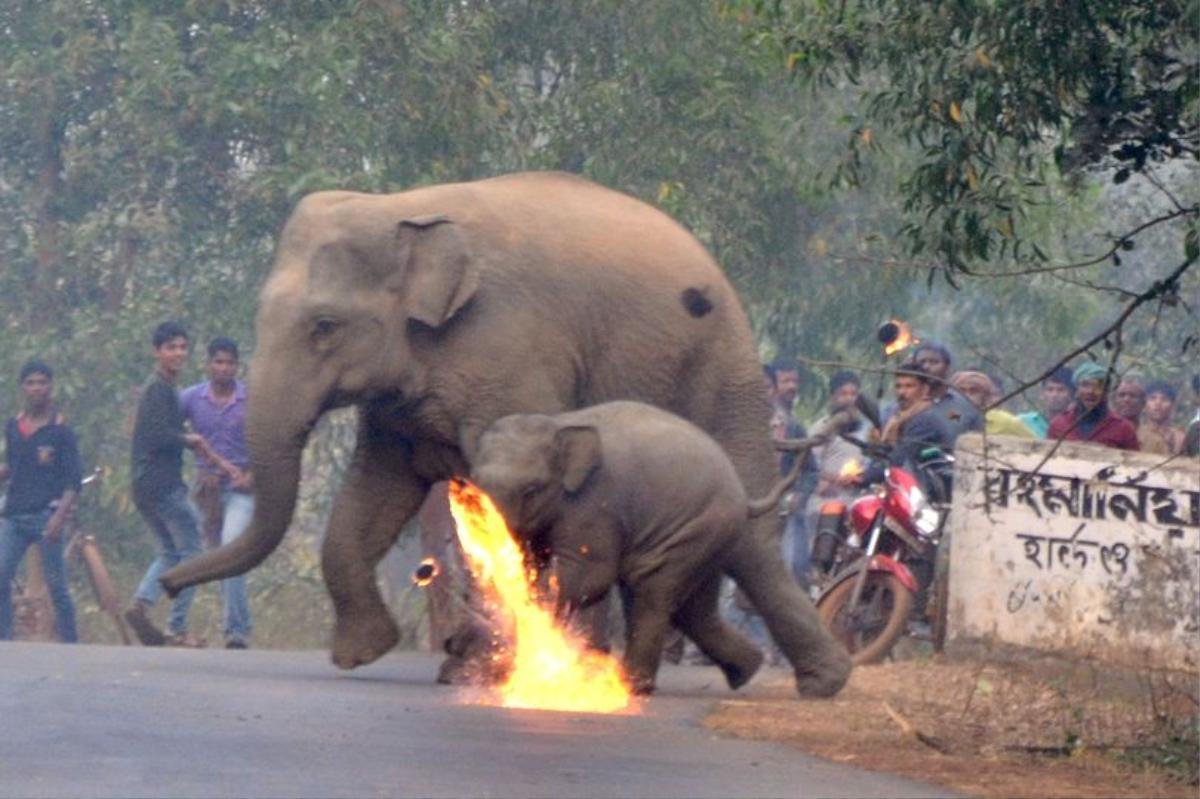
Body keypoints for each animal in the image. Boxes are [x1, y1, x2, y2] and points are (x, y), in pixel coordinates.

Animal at [162, 169, 816, 671]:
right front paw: (363, 654)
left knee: (747, 531)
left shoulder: (506, 349)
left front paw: (470, 659)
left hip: (725, 371)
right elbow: (376, 491)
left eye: (323, 326)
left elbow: (508, 507)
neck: (403, 208)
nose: (167, 586)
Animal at [468, 400, 854, 695]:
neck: (559, 424)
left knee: (654, 589)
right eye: (473, 485)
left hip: (696, 528)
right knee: (706, 604)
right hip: (712, 533)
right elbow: (533, 564)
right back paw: (760, 672)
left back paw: (634, 686)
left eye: (532, 489)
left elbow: (590, 575)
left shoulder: (595, 504)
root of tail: (740, 492)